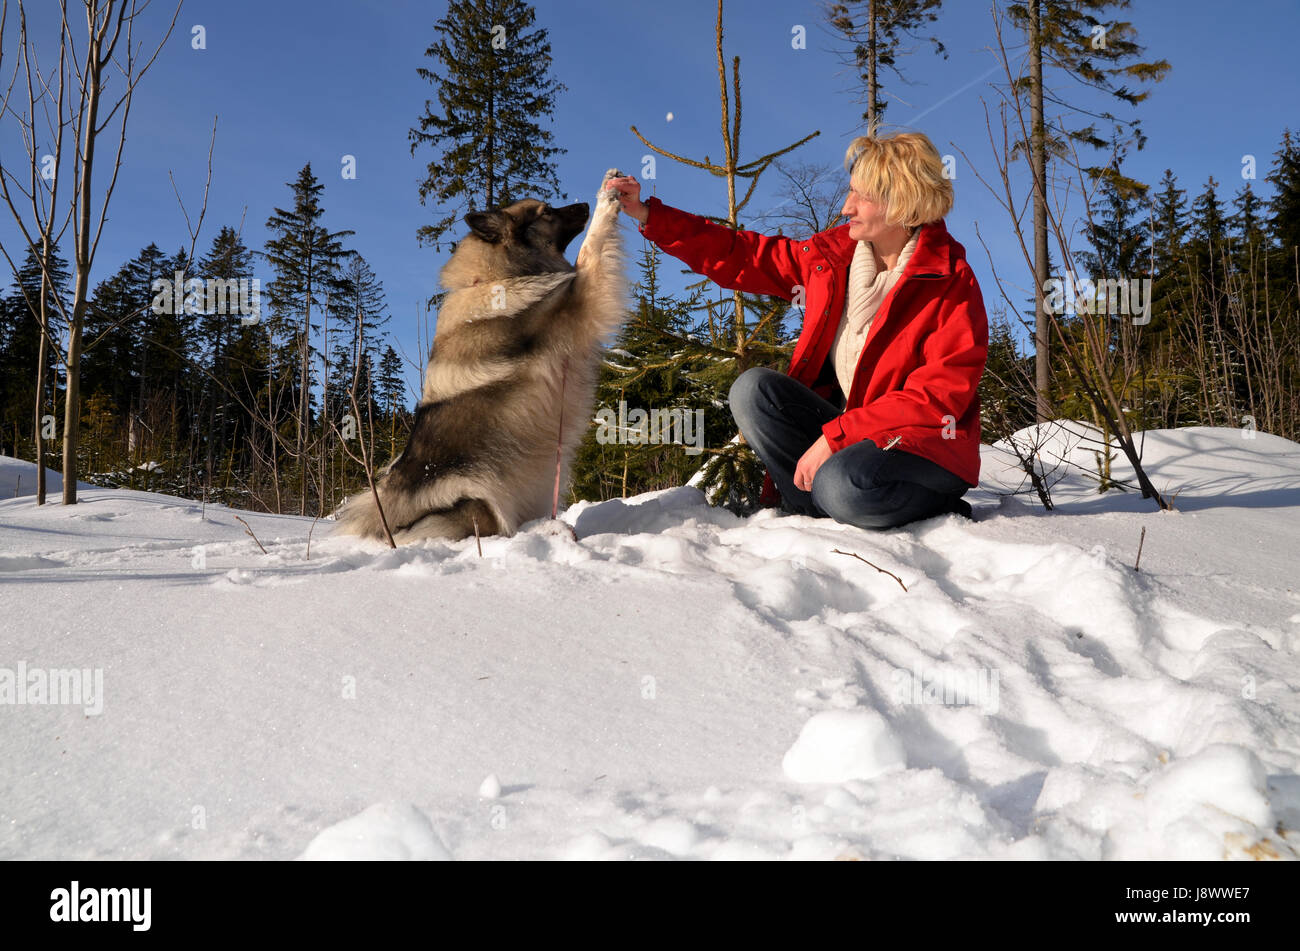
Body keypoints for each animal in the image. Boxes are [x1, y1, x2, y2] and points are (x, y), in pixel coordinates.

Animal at [332, 167, 631, 545]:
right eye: (546, 211)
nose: (582, 205)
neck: (497, 277)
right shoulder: (579, 299)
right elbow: (592, 245)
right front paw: (608, 195)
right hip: (474, 505)